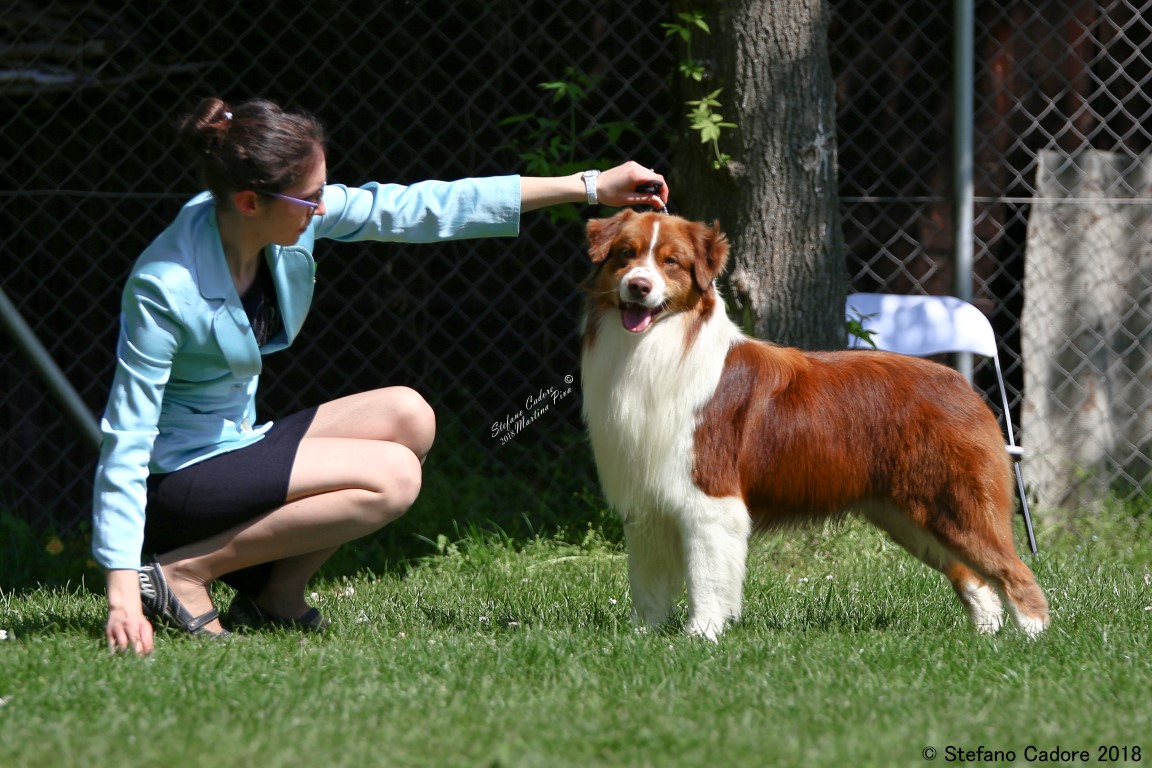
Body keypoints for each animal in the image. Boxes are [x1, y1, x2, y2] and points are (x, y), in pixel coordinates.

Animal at [580, 210, 1050, 644]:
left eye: (671, 262)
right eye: (626, 255)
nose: (639, 286)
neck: (657, 346)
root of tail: (961, 384)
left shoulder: (710, 497)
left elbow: (707, 578)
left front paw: (702, 636)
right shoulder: (647, 503)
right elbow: (648, 583)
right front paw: (642, 637)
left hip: (956, 503)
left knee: (1016, 573)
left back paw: (1033, 640)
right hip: (912, 516)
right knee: (975, 579)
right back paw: (984, 638)